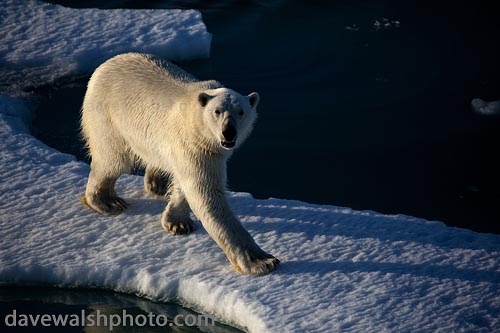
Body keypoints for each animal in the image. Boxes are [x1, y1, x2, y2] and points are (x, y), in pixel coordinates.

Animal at [80, 52, 280, 274]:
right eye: (217, 111)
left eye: (241, 111)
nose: (229, 132)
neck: (196, 121)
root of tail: (104, 65)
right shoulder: (195, 146)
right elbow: (207, 195)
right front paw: (262, 261)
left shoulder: (200, 151)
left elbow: (188, 186)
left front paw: (177, 223)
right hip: (106, 114)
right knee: (113, 159)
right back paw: (108, 202)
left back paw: (157, 184)